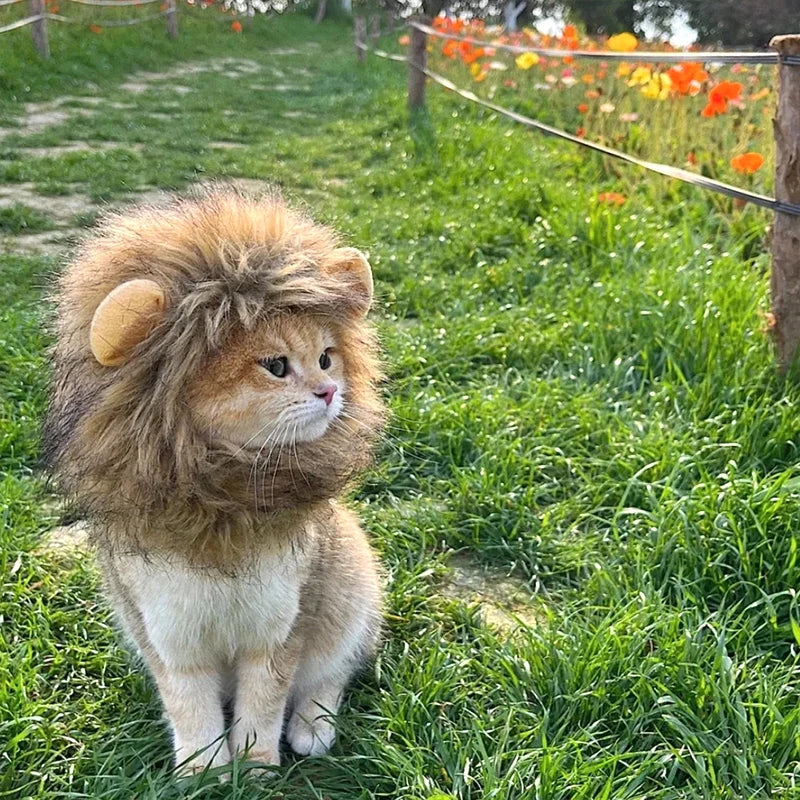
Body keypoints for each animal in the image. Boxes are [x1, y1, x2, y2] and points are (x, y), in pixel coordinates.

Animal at [43, 188, 388, 776]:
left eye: (327, 357)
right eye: (276, 365)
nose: (329, 392)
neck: (224, 505)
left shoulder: (279, 631)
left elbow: (264, 705)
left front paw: (257, 767)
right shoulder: (169, 638)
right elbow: (191, 708)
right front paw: (204, 772)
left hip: (351, 602)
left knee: (332, 676)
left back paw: (312, 729)